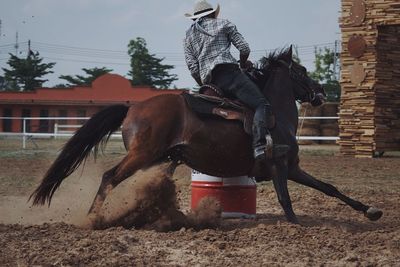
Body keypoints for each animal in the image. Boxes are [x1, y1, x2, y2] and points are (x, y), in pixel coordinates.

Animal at [29, 47, 382, 225]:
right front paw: (296, 223)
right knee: (109, 177)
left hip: (157, 158)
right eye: (302, 71)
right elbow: (286, 199)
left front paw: (370, 211)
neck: (276, 115)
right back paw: (93, 218)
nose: (321, 93)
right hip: (141, 156)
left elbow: (330, 188)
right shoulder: (280, 166)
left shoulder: (293, 167)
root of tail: (133, 107)